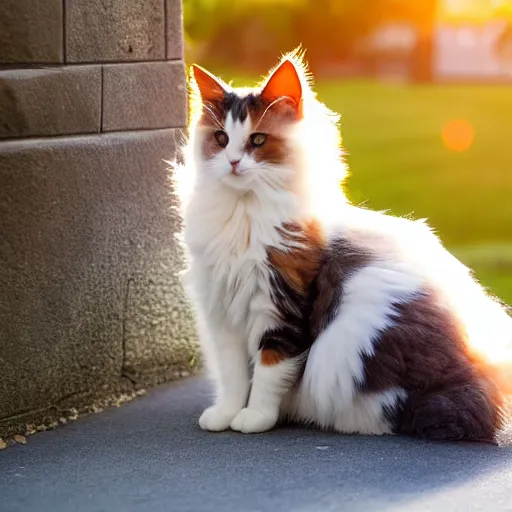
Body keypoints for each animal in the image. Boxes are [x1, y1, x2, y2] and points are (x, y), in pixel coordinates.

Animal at [174, 49, 510, 444]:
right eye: (221, 138)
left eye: (257, 140)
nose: (233, 162)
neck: (244, 216)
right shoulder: (222, 313)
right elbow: (233, 377)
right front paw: (226, 414)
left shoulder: (279, 307)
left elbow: (269, 373)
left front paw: (255, 418)